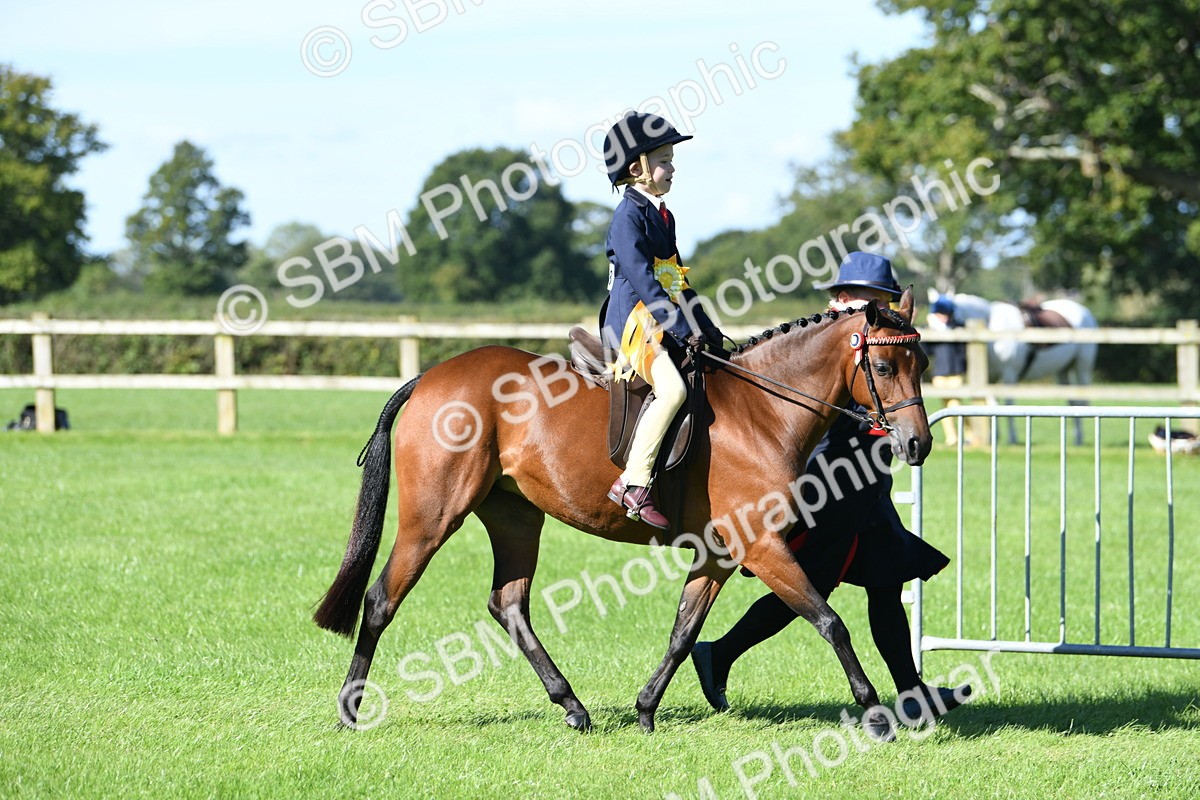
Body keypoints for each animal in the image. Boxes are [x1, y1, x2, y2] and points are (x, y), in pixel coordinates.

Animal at [312, 289, 931, 740]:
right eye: (882, 365)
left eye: (921, 362)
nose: (918, 444)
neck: (763, 411)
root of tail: (431, 378)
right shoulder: (760, 546)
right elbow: (830, 621)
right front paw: (875, 714)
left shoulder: (721, 554)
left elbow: (683, 633)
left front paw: (646, 710)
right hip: (434, 516)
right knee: (382, 599)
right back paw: (350, 710)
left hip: (516, 517)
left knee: (508, 604)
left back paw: (572, 706)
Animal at [932, 292, 1098, 445]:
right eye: (931, 317)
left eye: (946, 317)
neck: (991, 329)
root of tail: (1085, 311)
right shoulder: (991, 377)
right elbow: (993, 404)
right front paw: (993, 437)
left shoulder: (1009, 374)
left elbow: (1008, 402)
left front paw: (1012, 438)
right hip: (1063, 370)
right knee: (1072, 400)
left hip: (1081, 367)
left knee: (1081, 401)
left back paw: (1080, 439)